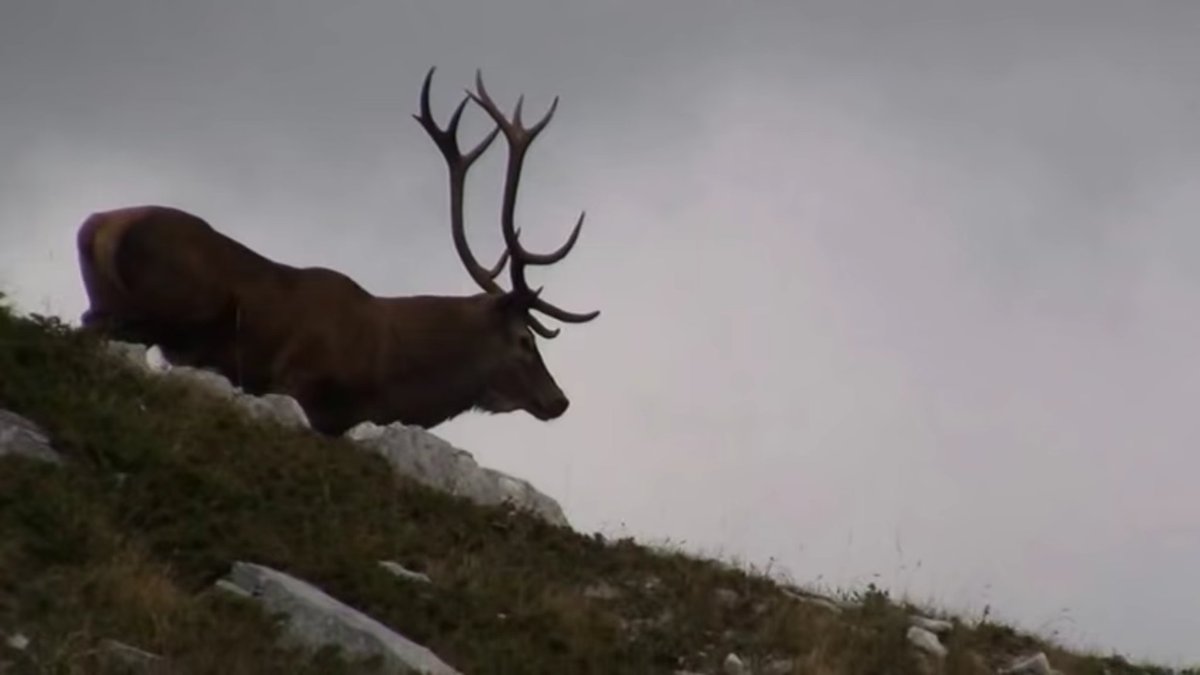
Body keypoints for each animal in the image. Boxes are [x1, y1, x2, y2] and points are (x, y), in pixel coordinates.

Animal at [74, 68, 600, 436]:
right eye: (525, 340)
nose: (559, 400)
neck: (388, 372)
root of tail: (100, 225)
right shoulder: (296, 379)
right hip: (156, 308)